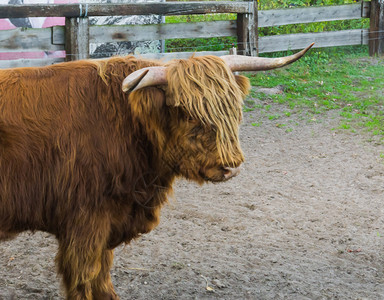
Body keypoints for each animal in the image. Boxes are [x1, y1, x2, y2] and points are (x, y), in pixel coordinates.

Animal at [0, 43, 312, 298]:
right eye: (187, 113)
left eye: (233, 108)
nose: (230, 166)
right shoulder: (85, 220)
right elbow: (86, 277)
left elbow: (102, 277)